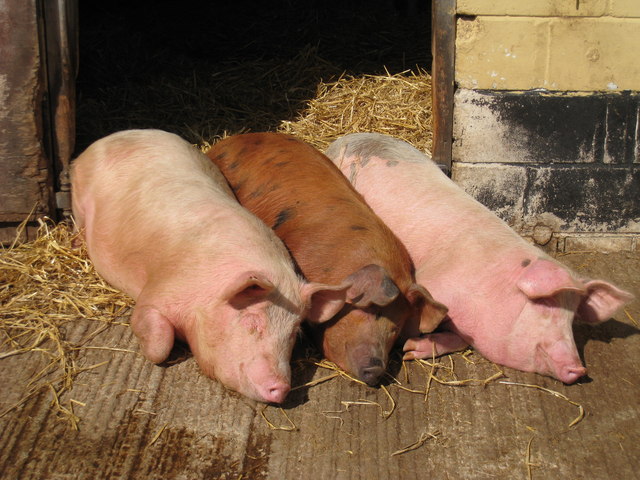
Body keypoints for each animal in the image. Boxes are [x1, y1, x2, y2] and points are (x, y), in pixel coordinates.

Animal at [71, 129, 350, 403]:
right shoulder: (160, 290)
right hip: (79, 194)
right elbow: (159, 346)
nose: (281, 389)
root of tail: (116, 135)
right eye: (252, 321)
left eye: (293, 333)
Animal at [325, 132, 635, 384]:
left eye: (572, 317)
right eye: (547, 306)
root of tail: (348, 137)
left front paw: (413, 348)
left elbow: (462, 341)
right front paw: (409, 347)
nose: (580, 370)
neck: (489, 288)